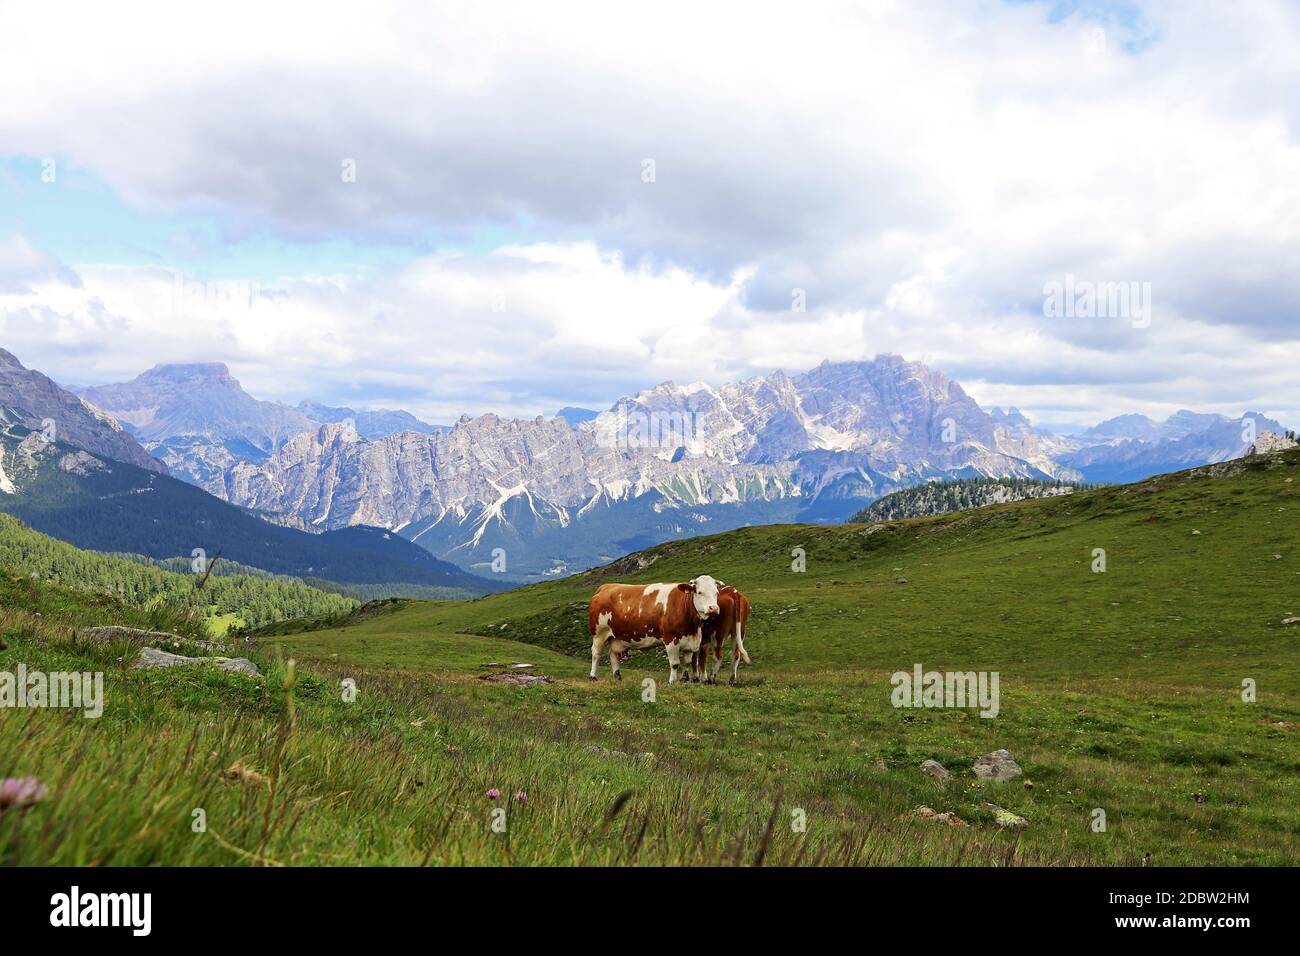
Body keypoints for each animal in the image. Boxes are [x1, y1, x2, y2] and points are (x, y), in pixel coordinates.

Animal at [587, 574, 722, 681]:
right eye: (700, 592)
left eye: (716, 593)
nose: (714, 608)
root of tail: (606, 586)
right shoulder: (670, 639)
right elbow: (675, 664)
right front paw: (672, 681)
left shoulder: (690, 642)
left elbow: (687, 663)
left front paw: (684, 680)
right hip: (599, 633)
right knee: (596, 653)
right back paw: (593, 676)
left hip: (616, 637)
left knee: (613, 655)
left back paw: (617, 677)